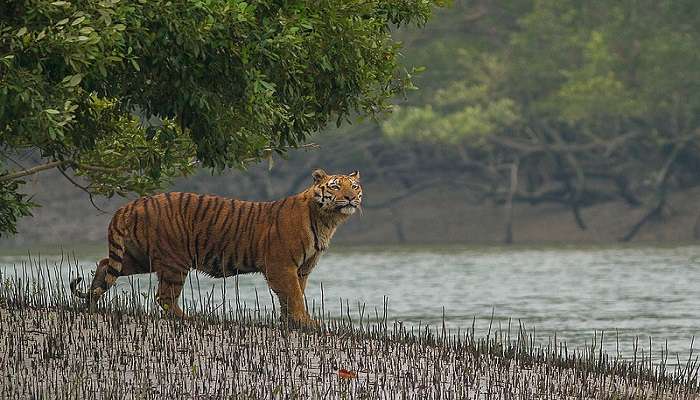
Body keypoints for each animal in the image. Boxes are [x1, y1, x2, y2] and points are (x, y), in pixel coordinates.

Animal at [71, 169, 364, 328]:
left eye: (354, 186)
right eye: (335, 186)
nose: (350, 197)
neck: (327, 220)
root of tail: (130, 204)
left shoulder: (301, 269)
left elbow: (293, 296)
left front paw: (291, 322)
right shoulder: (282, 266)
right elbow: (293, 295)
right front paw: (304, 322)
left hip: (138, 257)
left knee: (104, 265)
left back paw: (91, 303)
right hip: (174, 260)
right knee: (164, 296)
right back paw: (189, 318)